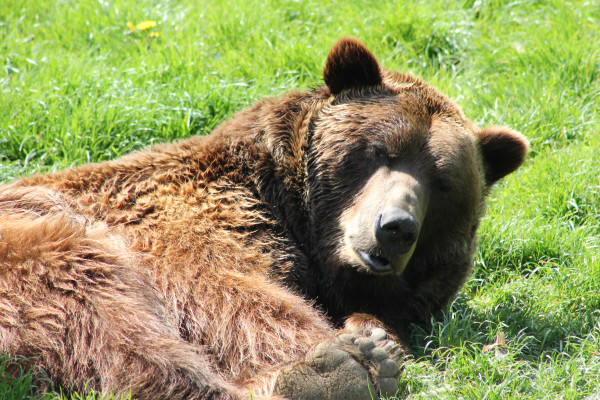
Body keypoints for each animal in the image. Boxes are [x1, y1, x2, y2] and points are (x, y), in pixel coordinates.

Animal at [0, 38, 524, 400]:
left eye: (443, 182)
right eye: (380, 150)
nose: (394, 227)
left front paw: (375, 334)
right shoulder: (188, 216)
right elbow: (226, 288)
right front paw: (356, 348)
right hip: (38, 241)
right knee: (102, 309)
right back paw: (329, 372)